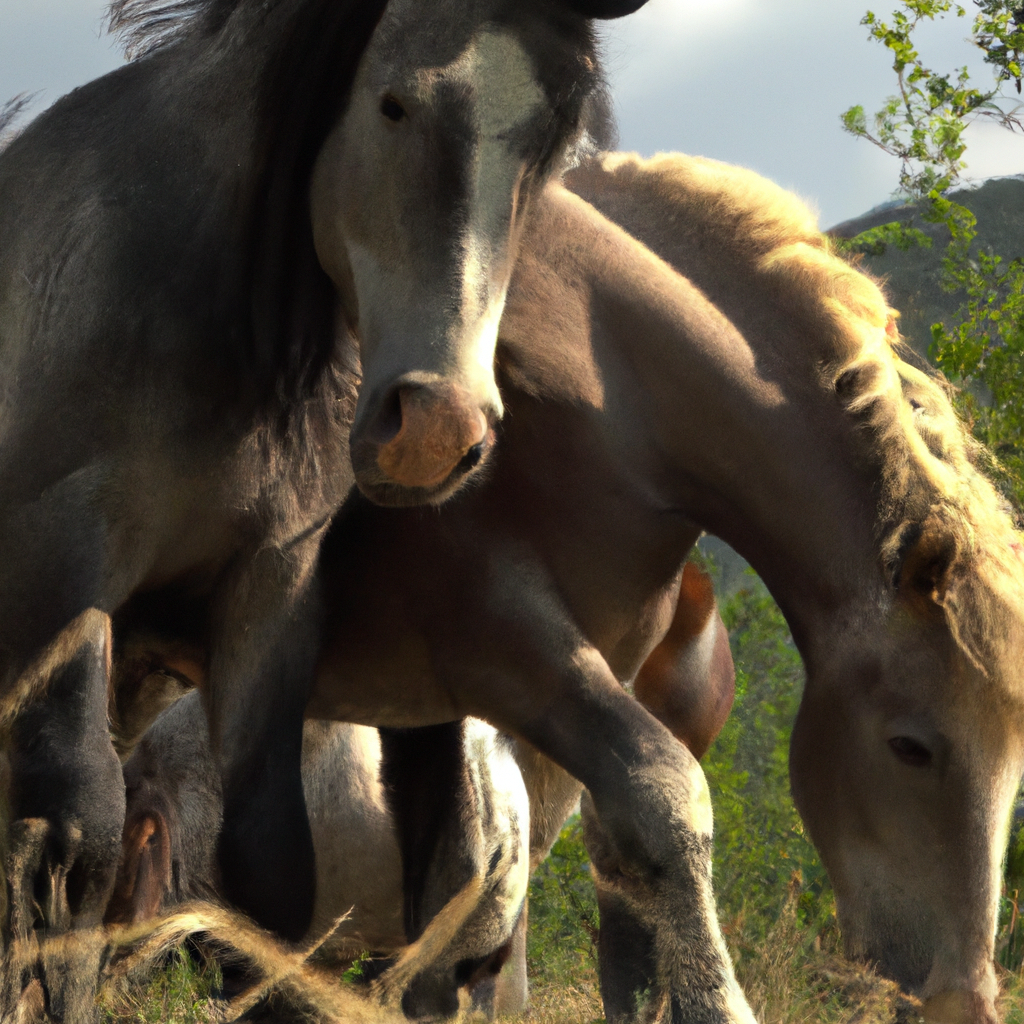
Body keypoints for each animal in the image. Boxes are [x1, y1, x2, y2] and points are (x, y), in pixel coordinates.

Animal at [0, 0, 647, 1011]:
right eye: (393, 103)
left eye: (553, 144)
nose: (436, 428)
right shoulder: (63, 574)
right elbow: (77, 835)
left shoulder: (270, 589)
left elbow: (268, 873)